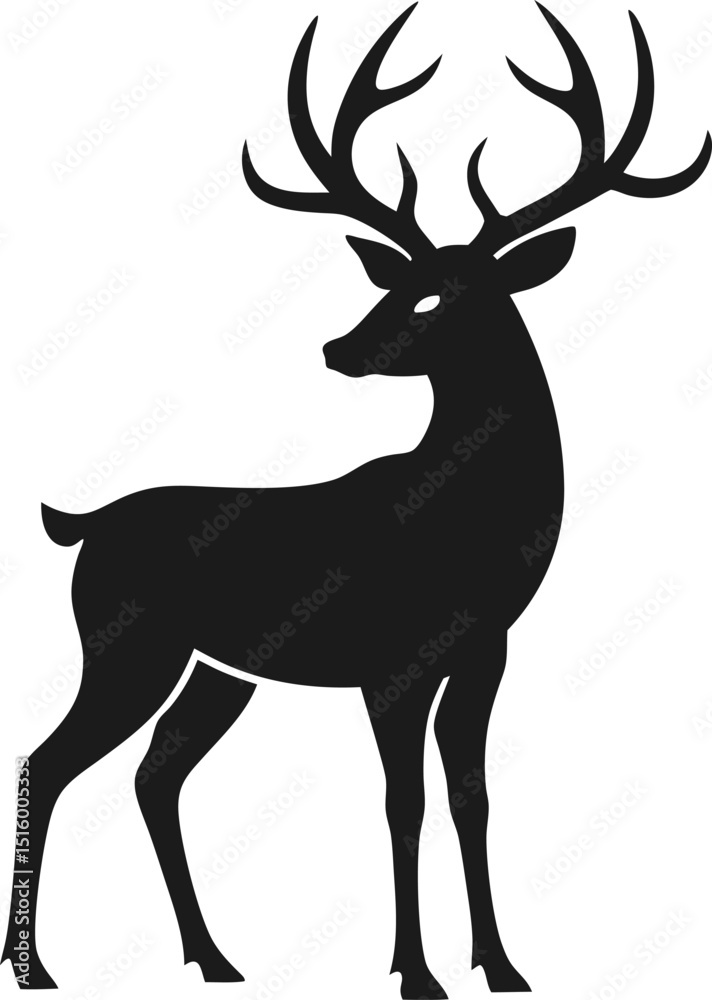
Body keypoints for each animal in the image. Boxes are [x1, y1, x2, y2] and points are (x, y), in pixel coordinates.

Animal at [2, 3, 708, 996]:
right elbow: (400, 801)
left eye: (437, 297)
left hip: (216, 669)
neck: (471, 521)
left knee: (154, 774)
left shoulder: (485, 650)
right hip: (125, 641)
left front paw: (502, 965)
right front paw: (415, 972)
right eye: (392, 283)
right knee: (50, 757)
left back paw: (214, 957)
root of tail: (82, 525)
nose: (337, 347)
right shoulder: (390, 658)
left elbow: (470, 795)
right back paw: (37, 967)